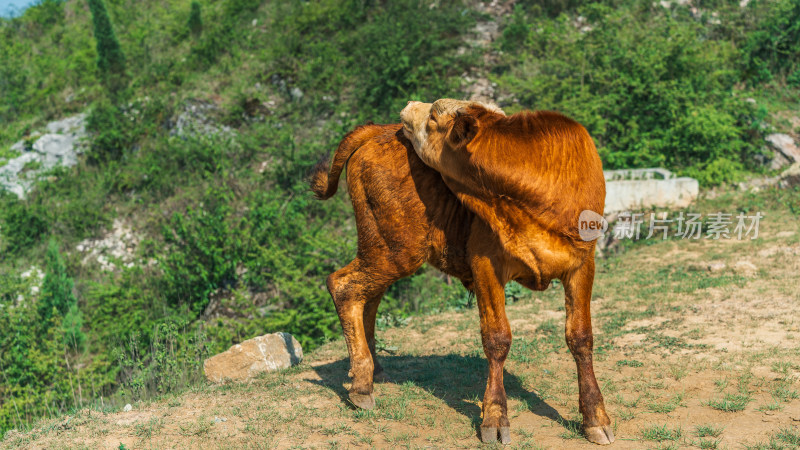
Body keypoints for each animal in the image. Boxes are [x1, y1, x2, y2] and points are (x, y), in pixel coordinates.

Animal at [400, 98, 612, 442]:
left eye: (432, 116)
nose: (409, 103)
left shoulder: (583, 262)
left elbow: (581, 336)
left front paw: (595, 416)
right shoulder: (485, 262)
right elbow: (496, 338)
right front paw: (494, 416)